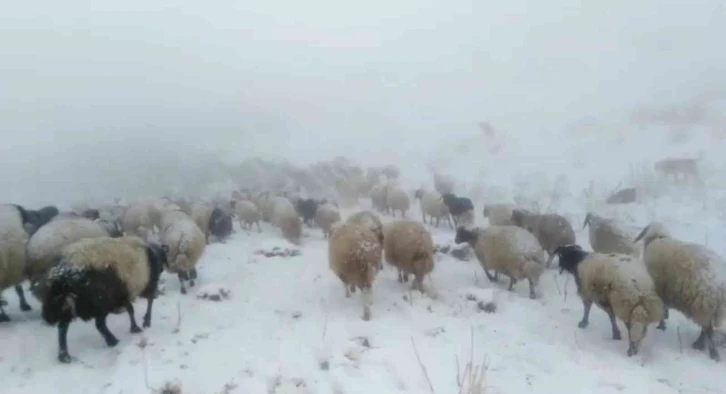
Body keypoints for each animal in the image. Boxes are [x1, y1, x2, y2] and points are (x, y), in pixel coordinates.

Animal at [41, 237, 169, 364]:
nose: (163, 269)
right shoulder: (147, 286)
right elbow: (147, 303)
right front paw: (144, 323)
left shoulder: (123, 295)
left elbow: (130, 309)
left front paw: (135, 327)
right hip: (100, 304)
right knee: (98, 324)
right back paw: (112, 341)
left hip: (67, 305)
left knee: (63, 327)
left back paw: (64, 355)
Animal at [632, 222, 726, 360]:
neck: (658, 239)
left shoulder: (659, 289)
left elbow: (662, 308)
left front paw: (661, 325)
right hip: (707, 308)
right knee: (707, 329)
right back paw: (701, 346)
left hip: (703, 306)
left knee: (708, 331)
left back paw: (709, 351)